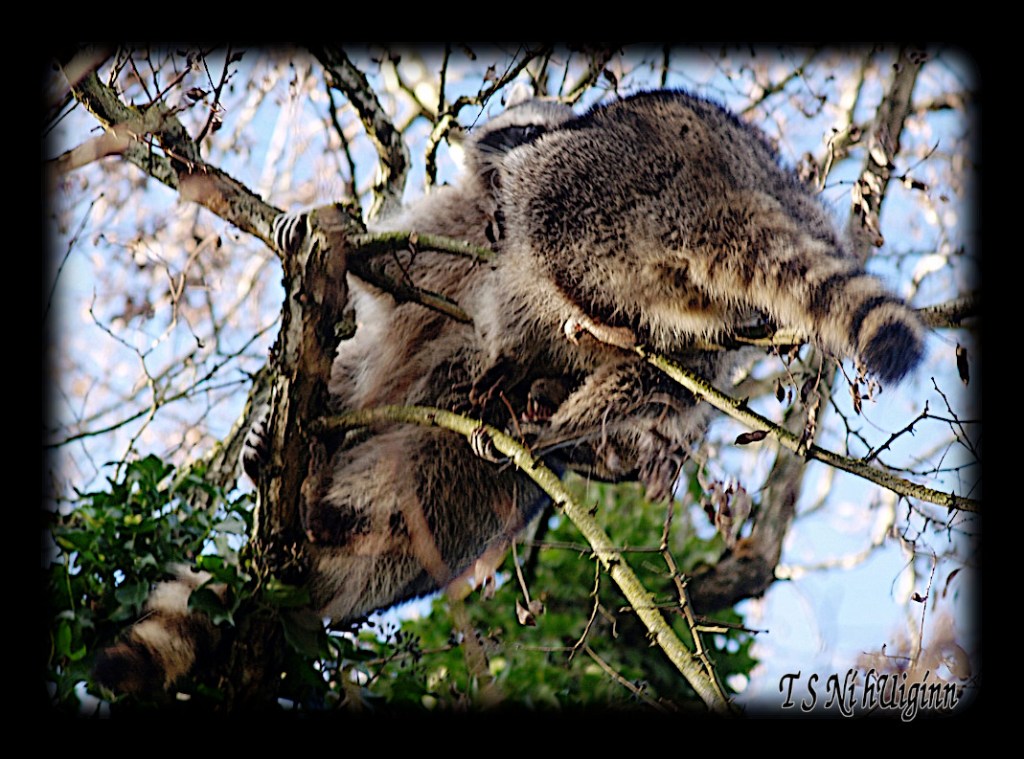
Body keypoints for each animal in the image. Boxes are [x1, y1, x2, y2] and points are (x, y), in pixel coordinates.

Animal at [96, 90, 925, 695]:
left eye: (524, 125)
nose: (499, 156)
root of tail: (715, 183)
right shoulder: (456, 225)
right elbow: (384, 280)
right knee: (363, 376)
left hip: (581, 218)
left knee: (450, 465)